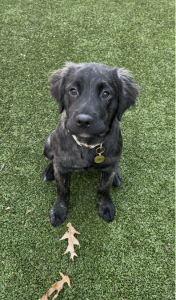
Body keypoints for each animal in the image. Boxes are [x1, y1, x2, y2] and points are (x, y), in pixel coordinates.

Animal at [42, 62, 139, 226]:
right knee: (53, 159)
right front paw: (59, 210)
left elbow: (103, 189)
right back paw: (50, 170)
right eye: (73, 90)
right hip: (49, 142)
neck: (87, 144)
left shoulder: (108, 168)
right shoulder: (61, 169)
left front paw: (106, 206)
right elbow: (62, 190)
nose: (83, 121)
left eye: (106, 94)